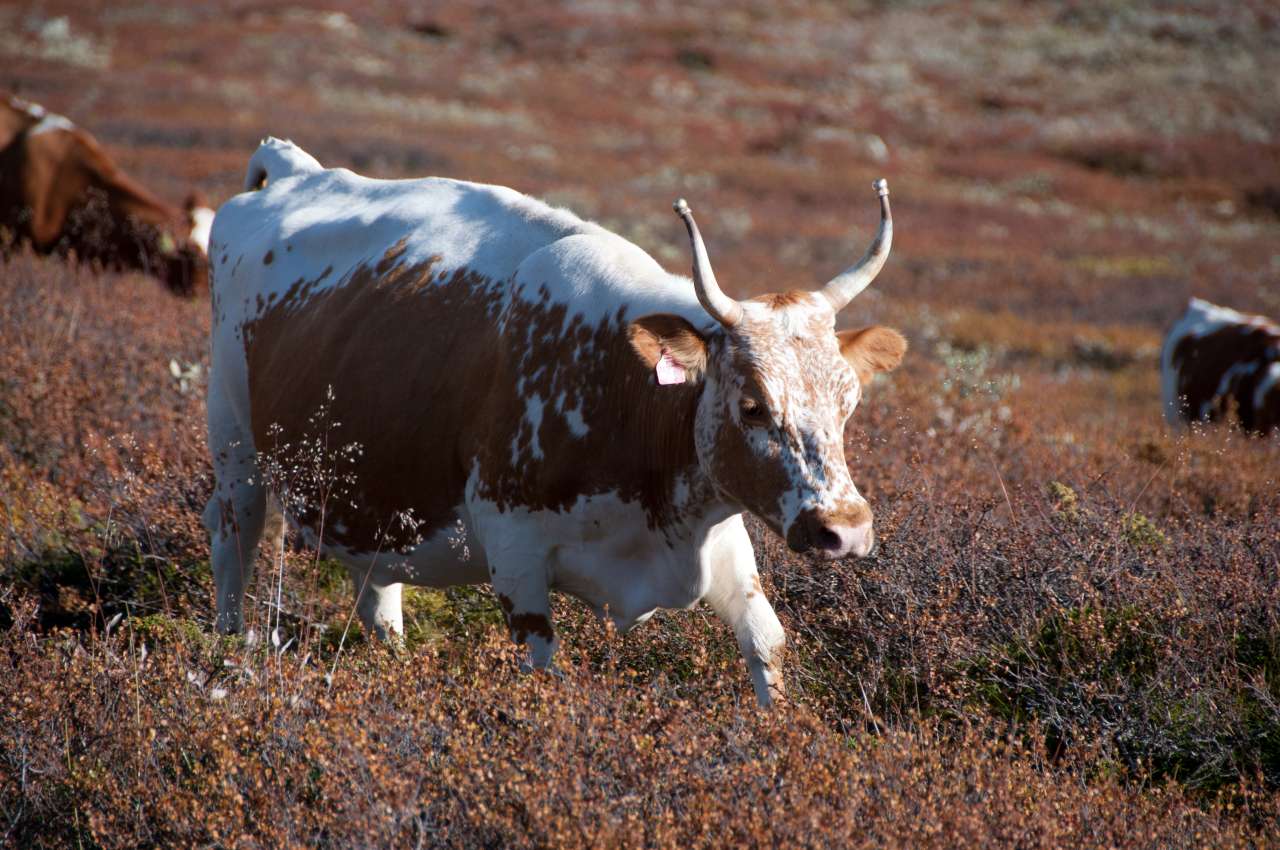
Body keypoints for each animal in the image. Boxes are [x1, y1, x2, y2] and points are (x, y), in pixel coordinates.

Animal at [204, 137, 906, 701]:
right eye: (753, 405)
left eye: (849, 402)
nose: (844, 529)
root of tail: (294, 171)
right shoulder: (514, 551)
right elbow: (544, 668)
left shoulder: (720, 530)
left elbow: (766, 640)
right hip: (232, 439)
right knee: (235, 537)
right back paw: (225, 655)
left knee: (378, 590)